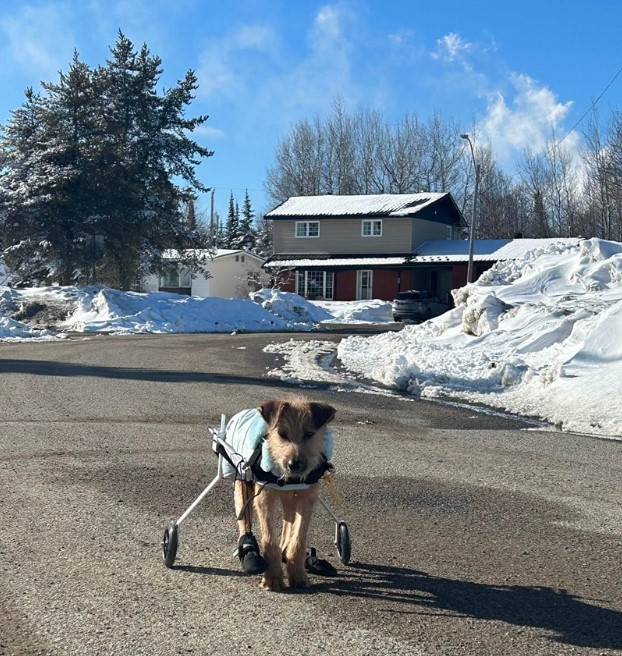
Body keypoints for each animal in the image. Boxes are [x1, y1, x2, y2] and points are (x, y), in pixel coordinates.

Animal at [229, 398, 336, 592]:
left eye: (309, 434)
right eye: (282, 434)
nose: (294, 464)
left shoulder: (306, 498)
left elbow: (298, 539)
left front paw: (298, 575)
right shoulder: (264, 497)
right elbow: (269, 540)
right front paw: (272, 578)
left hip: (289, 500)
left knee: (288, 525)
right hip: (242, 485)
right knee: (244, 522)